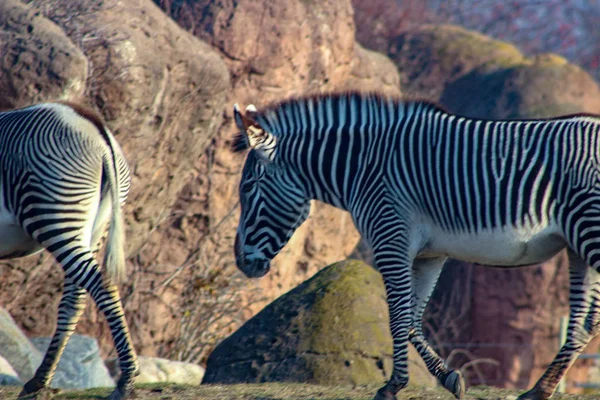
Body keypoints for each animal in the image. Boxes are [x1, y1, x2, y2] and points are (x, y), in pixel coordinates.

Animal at [0, 103, 138, 400]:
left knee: (102, 286)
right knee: (76, 298)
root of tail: (95, 127)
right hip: (95, 226)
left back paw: (127, 380)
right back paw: (38, 382)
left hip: (57, 215)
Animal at [232, 91, 600, 400]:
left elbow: (397, 316)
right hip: (577, 246)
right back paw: (538, 390)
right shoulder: (429, 254)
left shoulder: (390, 238)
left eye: (248, 187)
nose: (240, 263)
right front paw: (450, 378)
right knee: (584, 323)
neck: (363, 167)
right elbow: (410, 319)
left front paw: (393, 386)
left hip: (589, 232)